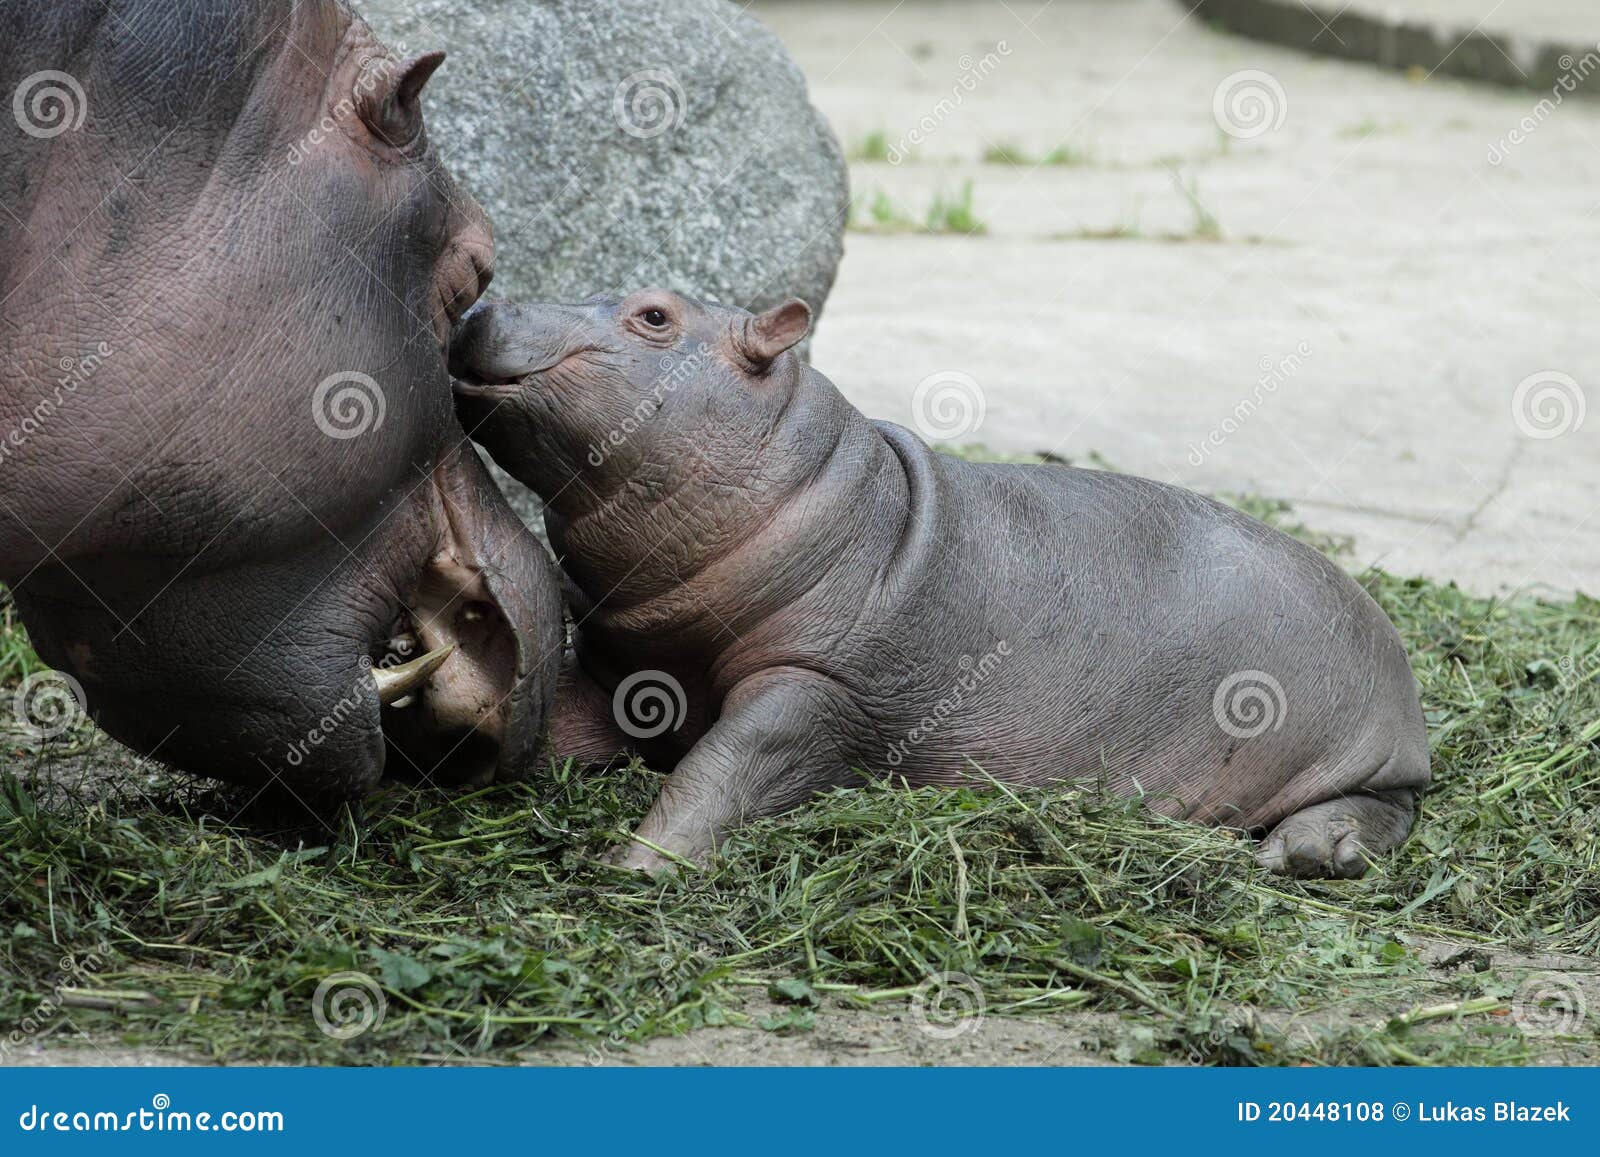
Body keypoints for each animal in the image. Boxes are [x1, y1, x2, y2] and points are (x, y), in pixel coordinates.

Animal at [450, 289, 1432, 877]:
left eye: (654, 315)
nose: (481, 300)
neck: (824, 481)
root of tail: (1389, 636)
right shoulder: (629, 668)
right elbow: (562, 718)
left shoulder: (822, 686)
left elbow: (722, 770)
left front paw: (636, 870)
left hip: (1361, 740)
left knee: (1388, 806)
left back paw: (1313, 853)